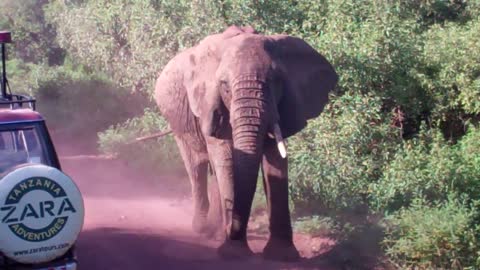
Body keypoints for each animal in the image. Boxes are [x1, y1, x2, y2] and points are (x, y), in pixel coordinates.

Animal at [154, 25, 338, 262]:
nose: (233, 238)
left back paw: (215, 230)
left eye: (276, 81)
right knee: (196, 165)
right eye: (224, 86)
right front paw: (233, 252)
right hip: (177, 120)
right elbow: (225, 158)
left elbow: (275, 161)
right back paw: (204, 229)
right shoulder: (210, 105)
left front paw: (282, 255)